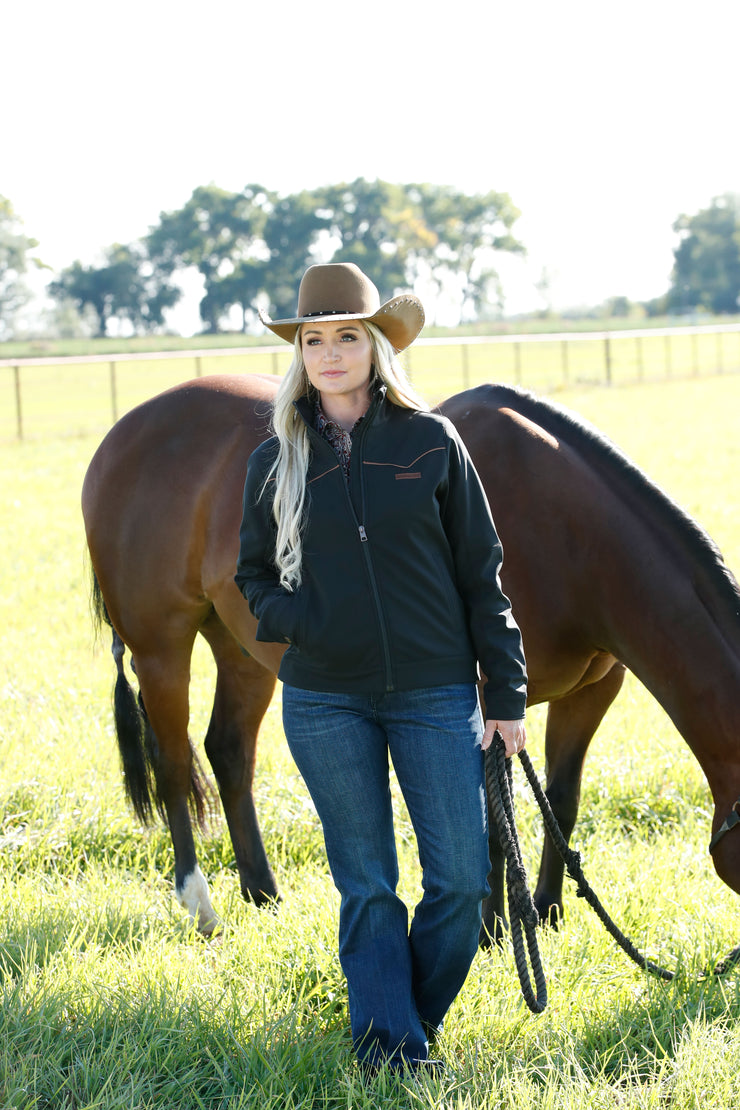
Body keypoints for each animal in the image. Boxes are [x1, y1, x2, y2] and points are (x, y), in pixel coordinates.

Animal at [80, 372, 740, 936]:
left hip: (243, 648)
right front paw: (492, 933)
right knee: (171, 761)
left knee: (229, 750)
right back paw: (201, 905)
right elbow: (489, 824)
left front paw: (548, 911)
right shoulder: (480, 699)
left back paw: (264, 895)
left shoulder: (591, 692)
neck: (567, 535)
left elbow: (561, 800)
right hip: (161, 649)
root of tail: (118, 439)